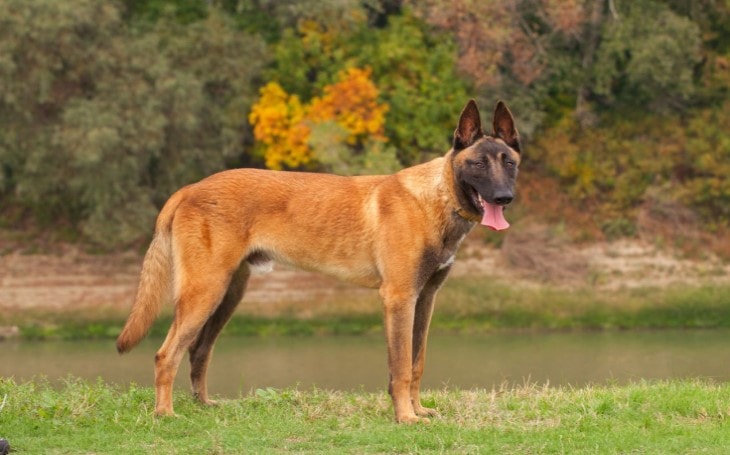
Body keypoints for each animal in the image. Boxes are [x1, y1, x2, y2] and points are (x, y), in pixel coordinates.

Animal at [116, 100, 516, 424]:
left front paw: (417, 410)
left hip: (227, 294)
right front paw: (405, 417)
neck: (437, 196)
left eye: (509, 162)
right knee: (165, 354)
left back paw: (203, 405)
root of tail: (189, 189)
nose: (504, 197)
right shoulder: (399, 299)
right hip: (205, 292)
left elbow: (417, 362)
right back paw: (165, 413)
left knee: (198, 351)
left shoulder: (425, 300)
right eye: (478, 163)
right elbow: (401, 366)